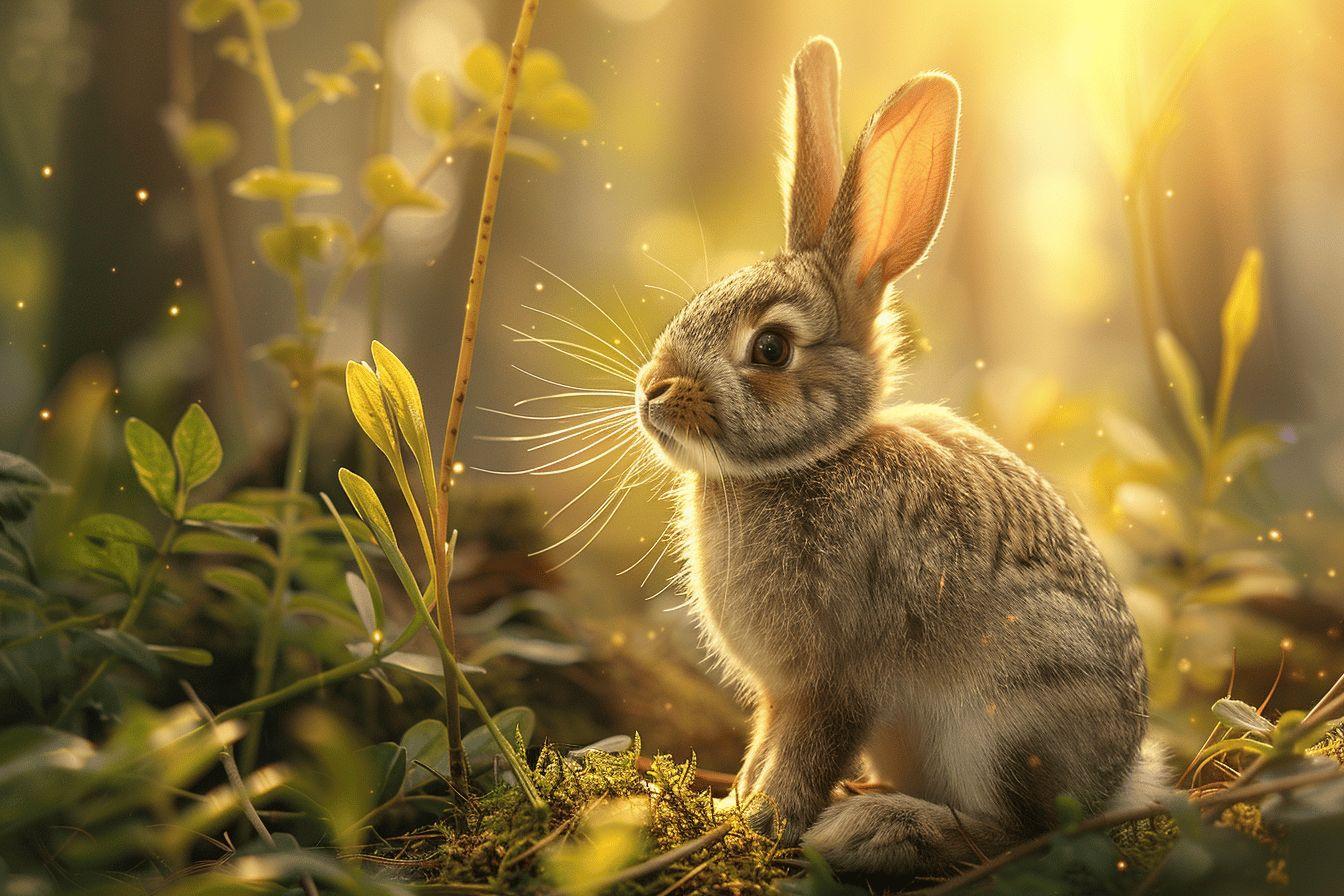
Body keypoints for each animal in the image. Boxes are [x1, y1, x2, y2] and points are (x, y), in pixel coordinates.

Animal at [630, 36, 1166, 878]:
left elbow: (806, 754)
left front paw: (763, 824)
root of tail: (1114, 781)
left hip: (1001, 719)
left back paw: (876, 831)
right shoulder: (778, 694)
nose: (652, 391)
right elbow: (763, 746)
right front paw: (729, 806)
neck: (805, 464)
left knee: (1012, 833)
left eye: (771, 348)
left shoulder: (833, 680)